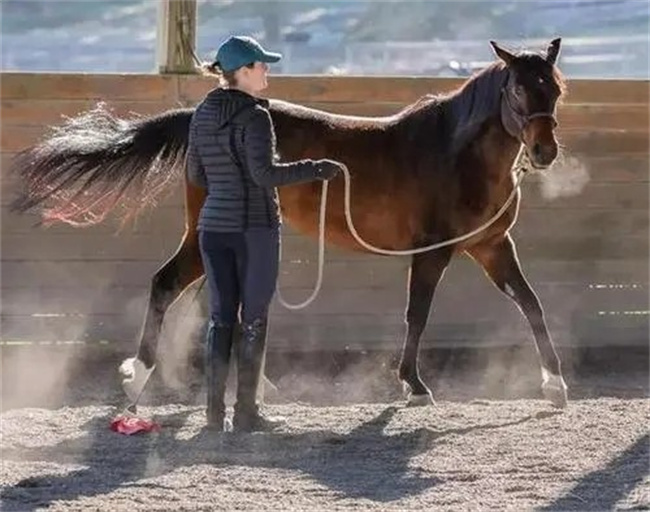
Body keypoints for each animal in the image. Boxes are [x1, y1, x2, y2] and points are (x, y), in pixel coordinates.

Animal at [10, 39, 568, 408]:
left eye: (556, 90)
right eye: (518, 90)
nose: (545, 152)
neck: (453, 153)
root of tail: (200, 114)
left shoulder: (493, 246)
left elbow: (532, 305)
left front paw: (555, 385)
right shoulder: (432, 252)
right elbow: (417, 315)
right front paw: (413, 384)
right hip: (205, 237)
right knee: (166, 285)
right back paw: (140, 376)